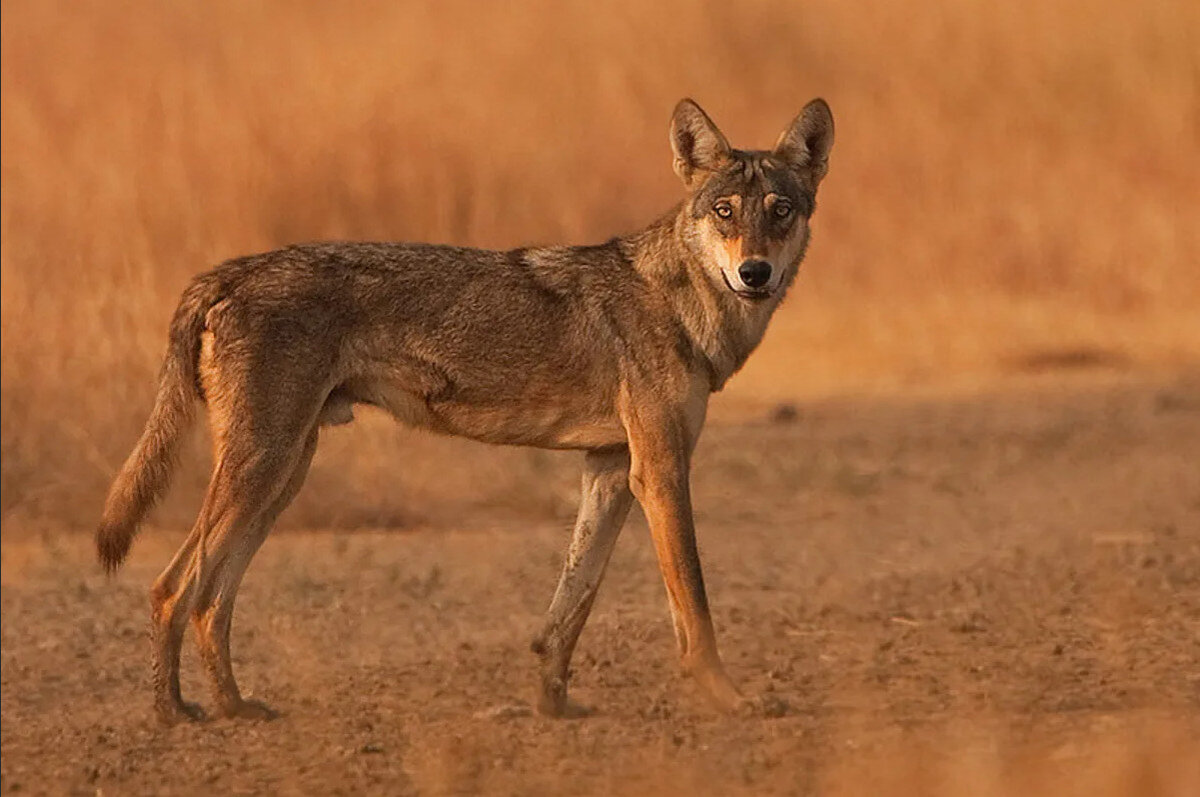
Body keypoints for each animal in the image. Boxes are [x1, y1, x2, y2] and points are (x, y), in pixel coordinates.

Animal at [96, 94, 835, 720]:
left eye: (780, 211)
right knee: (175, 589)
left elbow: (571, 606)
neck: (682, 302)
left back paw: (232, 706)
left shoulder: (610, 468)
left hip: (282, 477)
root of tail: (230, 271)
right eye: (725, 212)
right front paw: (729, 697)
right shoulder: (659, 470)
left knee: (206, 598)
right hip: (264, 469)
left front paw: (552, 704)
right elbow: (694, 601)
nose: (755, 273)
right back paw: (175, 715)